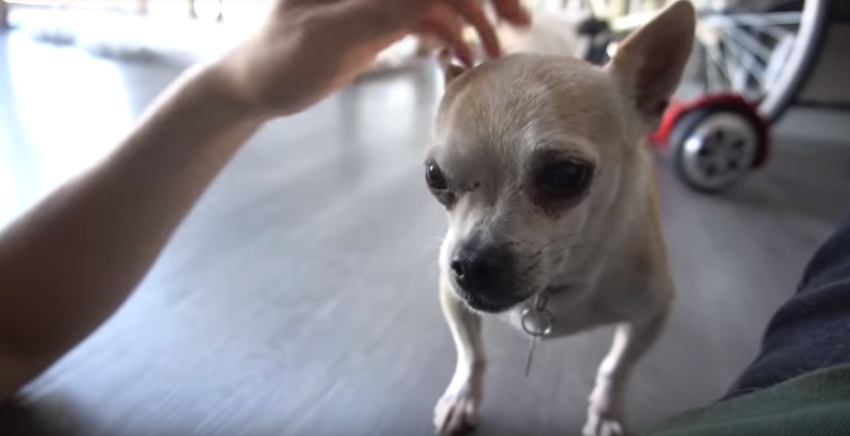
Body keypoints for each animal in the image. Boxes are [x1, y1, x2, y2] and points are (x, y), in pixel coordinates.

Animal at [424, 1, 696, 434]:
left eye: (567, 175)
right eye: (434, 176)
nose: (472, 263)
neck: (554, 288)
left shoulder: (653, 313)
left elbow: (618, 366)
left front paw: (606, 412)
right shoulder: (453, 297)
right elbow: (471, 353)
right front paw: (464, 396)